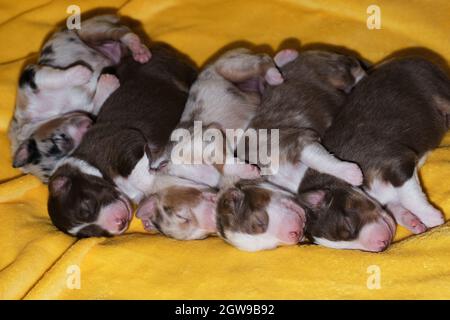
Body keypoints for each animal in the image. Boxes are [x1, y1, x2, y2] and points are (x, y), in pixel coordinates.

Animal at [9, 14, 150, 182]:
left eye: (57, 140)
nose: (87, 126)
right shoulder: (90, 109)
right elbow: (98, 102)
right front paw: (107, 81)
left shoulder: (29, 79)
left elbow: (50, 77)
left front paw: (82, 73)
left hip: (90, 30)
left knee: (121, 32)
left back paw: (139, 50)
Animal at [300, 56, 448, 249]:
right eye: (348, 249)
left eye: (348, 225)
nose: (381, 245)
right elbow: (397, 207)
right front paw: (414, 222)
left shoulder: (394, 162)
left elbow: (409, 196)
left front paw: (433, 219)